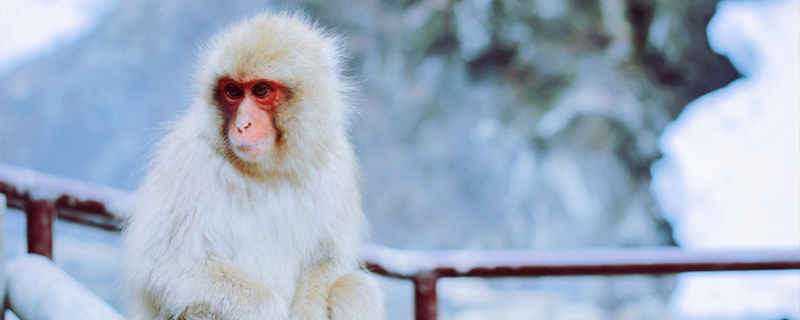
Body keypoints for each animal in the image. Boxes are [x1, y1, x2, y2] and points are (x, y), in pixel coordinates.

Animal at [122, 13, 388, 320]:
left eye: (260, 90)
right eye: (233, 92)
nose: (242, 124)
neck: (268, 171)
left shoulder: (336, 167)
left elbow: (327, 262)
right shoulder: (188, 163)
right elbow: (169, 266)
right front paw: (270, 309)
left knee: (354, 287)